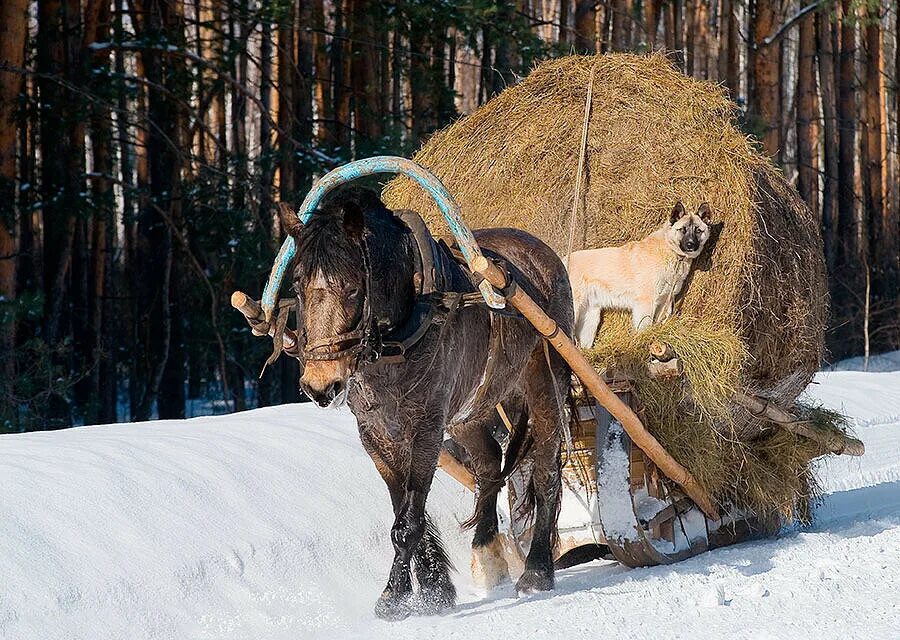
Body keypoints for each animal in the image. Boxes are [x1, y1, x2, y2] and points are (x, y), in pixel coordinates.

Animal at [278, 186, 572, 620]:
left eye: (352, 288)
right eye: (297, 287)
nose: (320, 384)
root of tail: (541, 252)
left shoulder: (427, 427)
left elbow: (408, 521)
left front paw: (394, 597)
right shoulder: (376, 434)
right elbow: (403, 507)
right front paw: (434, 586)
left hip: (543, 382)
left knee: (546, 470)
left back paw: (536, 571)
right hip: (471, 409)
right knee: (488, 465)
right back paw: (487, 553)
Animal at [568, 202, 712, 348]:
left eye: (698, 230)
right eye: (683, 230)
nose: (690, 245)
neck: (671, 250)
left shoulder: (665, 301)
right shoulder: (646, 303)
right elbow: (644, 326)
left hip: (590, 319)